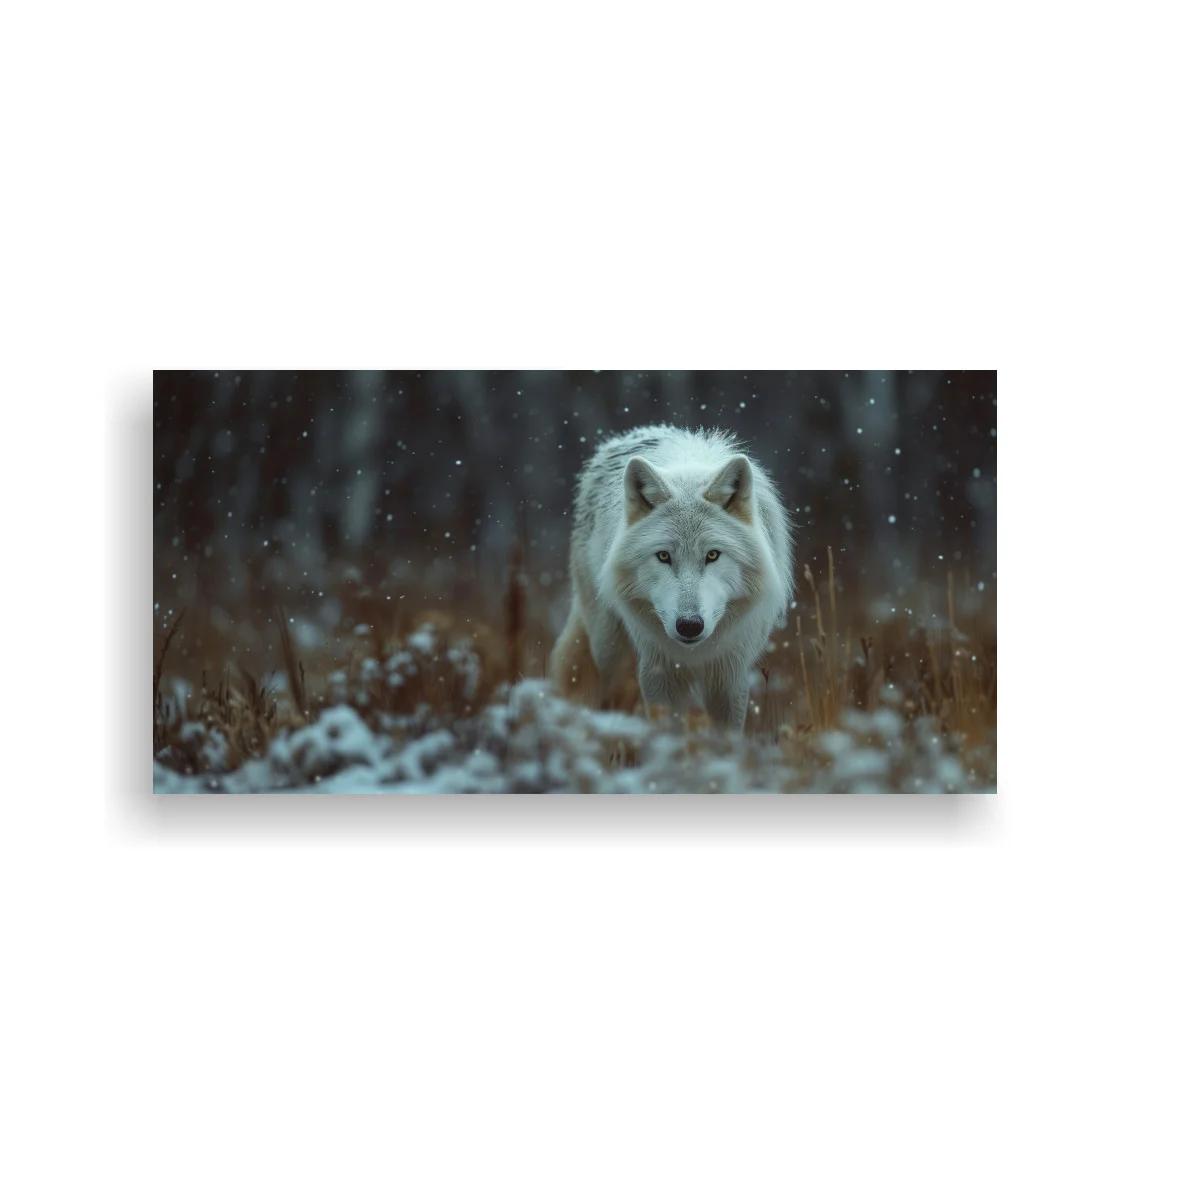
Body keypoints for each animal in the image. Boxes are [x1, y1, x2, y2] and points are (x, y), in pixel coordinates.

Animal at [549, 425, 793, 730]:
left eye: (713, 555)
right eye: (664, 556)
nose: (689, 626)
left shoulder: (730, 675)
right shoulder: (658, 673)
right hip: (609, 651)